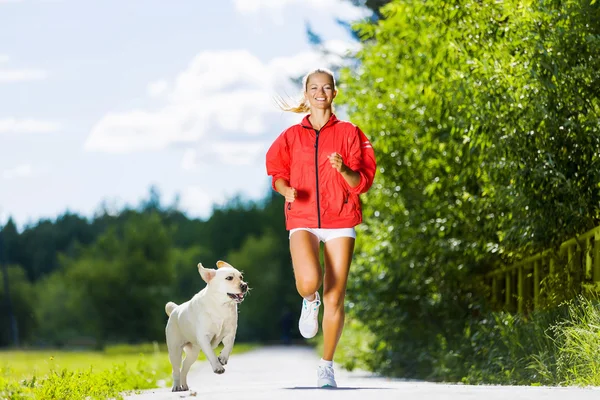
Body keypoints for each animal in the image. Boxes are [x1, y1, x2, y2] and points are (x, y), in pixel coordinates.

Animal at [163, 260, 247, 392]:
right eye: (229, 278)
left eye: (241, 277)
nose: (244, 285)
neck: (221, 306)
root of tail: (175, 310)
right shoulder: (204, 337)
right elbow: (211, 354)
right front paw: (218, 367)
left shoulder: (231, 332)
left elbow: (229, 345)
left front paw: (223, 358)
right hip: (175, 350)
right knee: (176, 369)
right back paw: (176, 386)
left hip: (193, 353)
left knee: (184, 367)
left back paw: (184, 386)